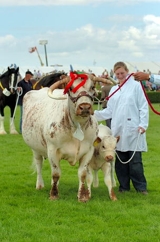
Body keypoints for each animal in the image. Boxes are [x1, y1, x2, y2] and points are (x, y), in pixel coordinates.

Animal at [21, 72, 113, 202]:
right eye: (70, 88)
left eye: (92, 87)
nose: (84, 107)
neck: (77, 126)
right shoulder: (52, 150)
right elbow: (56, 173)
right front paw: (54, 194)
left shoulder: (88, 151)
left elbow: (82, 174)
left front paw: (82, 196)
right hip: (35, 148)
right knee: (39, 164)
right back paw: (40, 184)